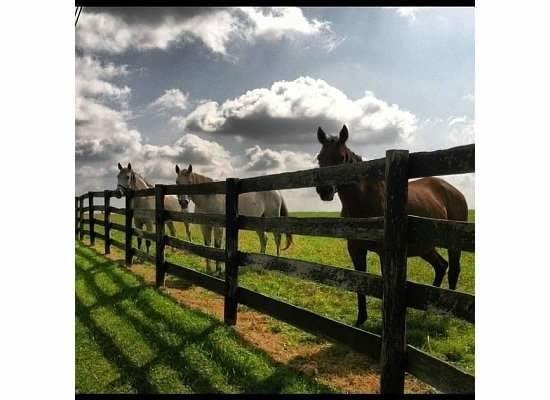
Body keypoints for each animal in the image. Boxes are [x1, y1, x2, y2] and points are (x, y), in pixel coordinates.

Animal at [316, 125, 468, 328]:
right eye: (319, 158)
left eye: (341, 158)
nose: (324, 190)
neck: (364, 202)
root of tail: (453, 190)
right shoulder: (356, 250)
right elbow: (359, 283)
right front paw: (360, 320)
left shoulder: (384, 253)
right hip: (424, 247)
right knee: (441, 266)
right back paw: (426, 310)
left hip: (453, 244)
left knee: (453, 270)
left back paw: (447, 316)